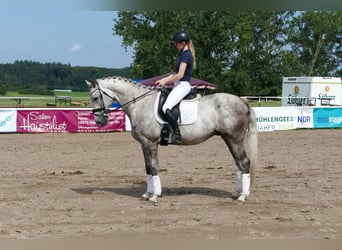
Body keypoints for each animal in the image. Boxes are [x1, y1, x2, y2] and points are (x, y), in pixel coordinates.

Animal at [85, 77, 256, 204]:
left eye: (95, 97)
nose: (99, 122)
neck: (140, 104)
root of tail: (242, 101)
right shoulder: (144, 144)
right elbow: (147, 168)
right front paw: (147, 194)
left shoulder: (150, 142)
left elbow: (154, 168)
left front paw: (155, 196)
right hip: (228, 138)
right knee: (238, 163)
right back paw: (237, 193)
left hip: (234, 138)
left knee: (244, 162)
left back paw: (243, 196)